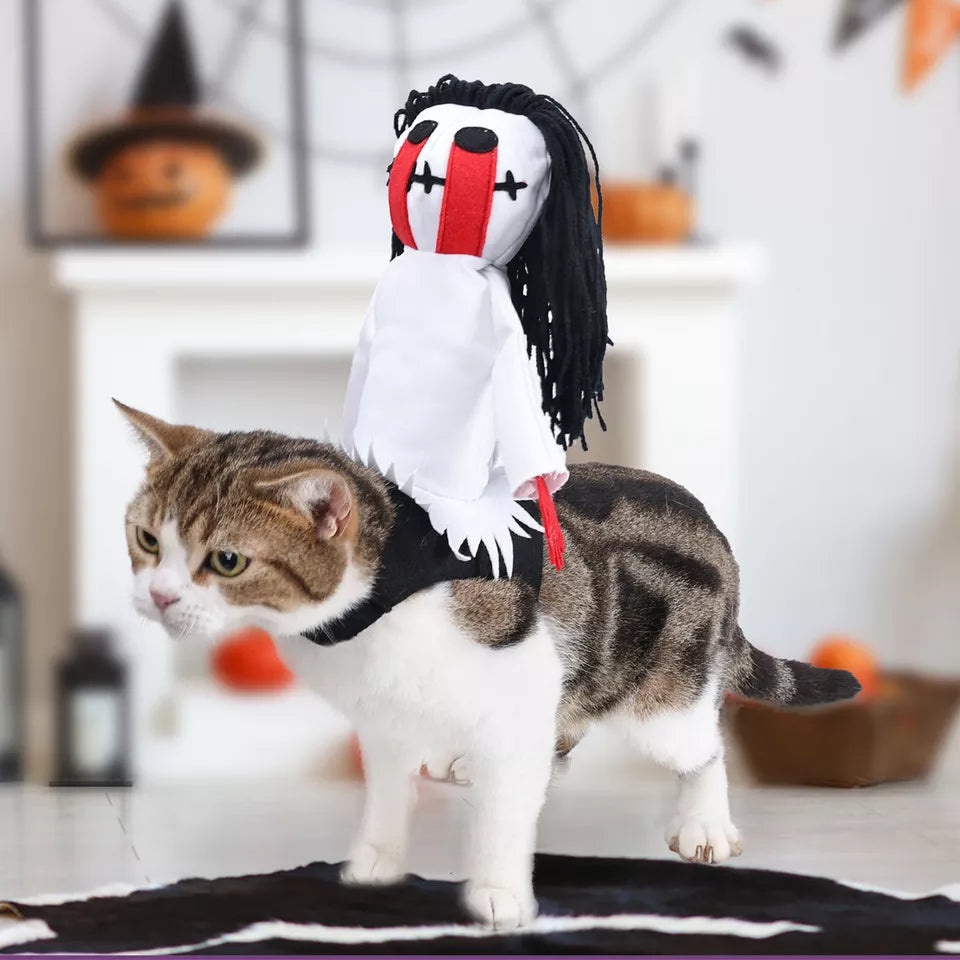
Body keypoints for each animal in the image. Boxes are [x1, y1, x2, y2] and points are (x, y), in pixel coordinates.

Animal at [116, 402, 860, 928]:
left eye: (227, 561)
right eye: (148, 539)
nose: (157, 595)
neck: (379, 598)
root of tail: (711, 527)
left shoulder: (516, 676)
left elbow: (507, 811)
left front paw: (498, 895)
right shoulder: (383, 720)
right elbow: (387, 793)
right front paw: (376, 862)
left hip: (665, 694)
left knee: (700, 744)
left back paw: (704, 824)